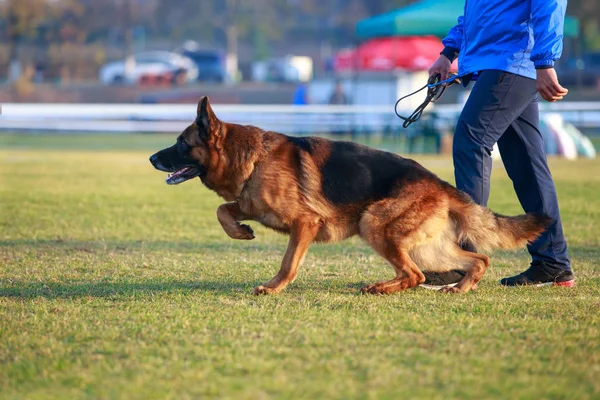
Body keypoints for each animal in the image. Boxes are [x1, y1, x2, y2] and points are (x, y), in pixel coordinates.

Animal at [149, 97, 548, 294]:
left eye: (181, 143)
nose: (152, 158)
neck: (253, 159)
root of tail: (440, 185)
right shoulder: (251, 204)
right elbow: (223, 208)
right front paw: (241, 232)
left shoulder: (305, 223)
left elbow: (288, 262)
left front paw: (273, 288)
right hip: (426, 246)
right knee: (474, 260)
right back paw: (459, 288)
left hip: (375, 224)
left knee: (415, 274)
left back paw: (382, 288)